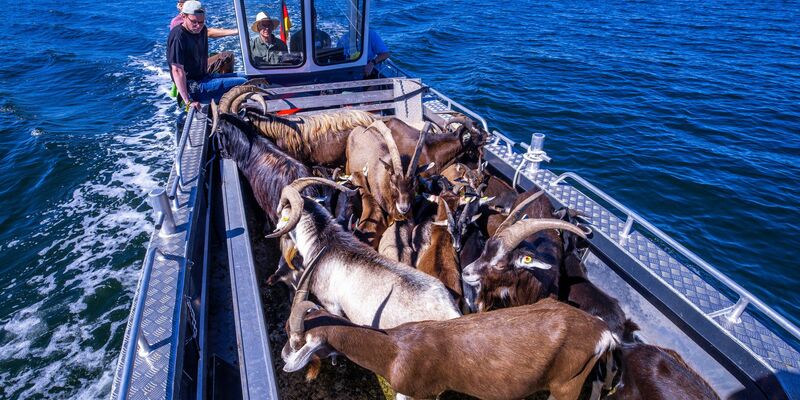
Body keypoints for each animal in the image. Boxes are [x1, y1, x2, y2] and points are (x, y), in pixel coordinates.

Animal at [284, 298, 617, 400]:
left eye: (297, 340)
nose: (285, 354)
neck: (394, 350)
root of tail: (602, 331)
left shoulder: (419, 392)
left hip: (566, 384)